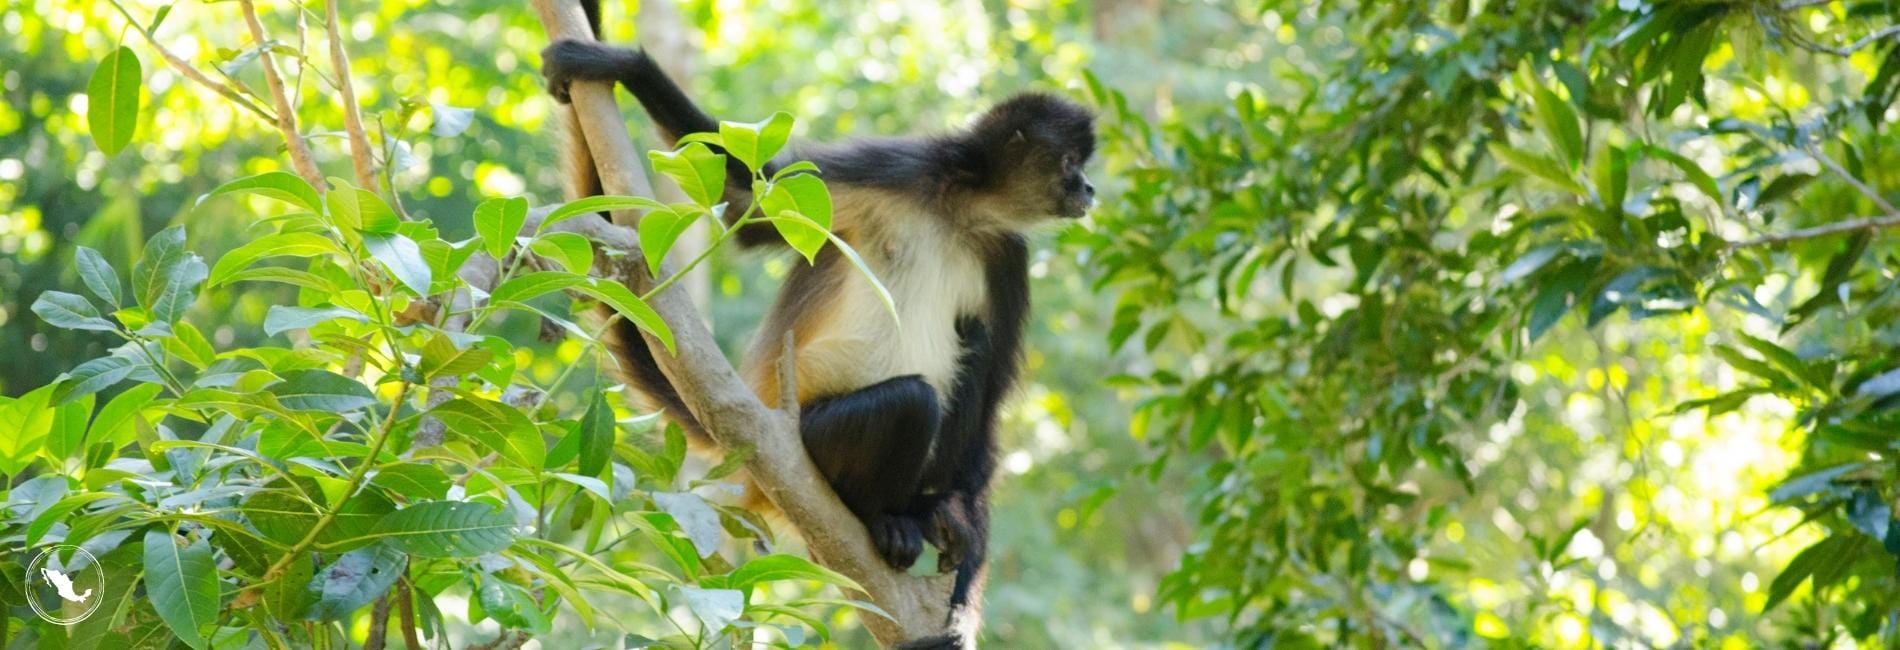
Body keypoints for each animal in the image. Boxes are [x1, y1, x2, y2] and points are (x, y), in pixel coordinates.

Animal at [542, 6, 1095, 648]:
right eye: (1070, 164)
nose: (1089, 188)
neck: (960, 212)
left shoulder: (1006, 255)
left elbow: (994, 393)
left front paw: (963, 576)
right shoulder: (901, 168)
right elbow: (750, 203)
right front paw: (626, 66)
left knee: (974, 350)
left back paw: (929, 511)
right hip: (806, 437)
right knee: (914, 399)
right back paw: (885, 519)